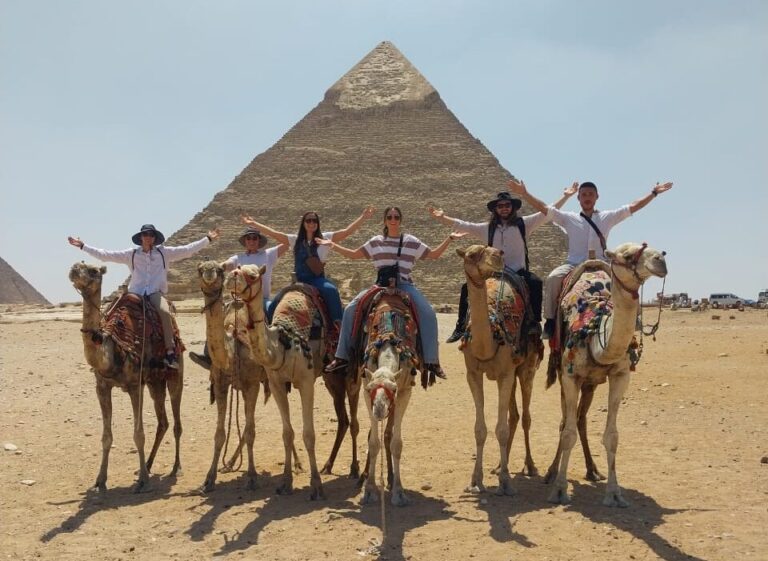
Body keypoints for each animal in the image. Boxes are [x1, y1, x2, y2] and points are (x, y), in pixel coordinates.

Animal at [68, 260, 182, 492]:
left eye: (94, 271)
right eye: (78, 264)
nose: (74, 269)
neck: (113, 347)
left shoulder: (135, 386)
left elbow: (138, 434)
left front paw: (143, 481)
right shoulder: (102, 386)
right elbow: (106, 437)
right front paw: (100, 480)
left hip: (175, 374)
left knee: (176, 423)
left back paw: (175, 467)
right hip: (155, 381)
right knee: (163, 422)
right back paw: (147, 464)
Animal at [226, 262, 326, 498]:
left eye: (253, 275)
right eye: (236, 268)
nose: (231, 277)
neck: (284, 344)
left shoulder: (306, 382)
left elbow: (309, 434)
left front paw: (317, 485)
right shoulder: (276, 384)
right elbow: (287, 433)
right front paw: (286, 482)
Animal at [456, 245, 544, 494]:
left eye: (489, 249)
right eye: (471, 254)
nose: (498, 255)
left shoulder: (506, 373)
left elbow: (501, 429)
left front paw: (505, 482)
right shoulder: (473, 374)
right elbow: (481, 429)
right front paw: (475, 480)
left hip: (526, 369)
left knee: (525, 417)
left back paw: (530, 466)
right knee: (514, 415)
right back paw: (497, 466)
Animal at [544, 243, 668, 506]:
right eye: (628, 256)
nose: (660, 260)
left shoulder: (621, 376)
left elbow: (612, 436)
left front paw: (614, 493)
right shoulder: (570, 377)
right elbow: (567, 432)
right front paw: (559, 490)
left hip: (590, 384)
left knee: (581, 419)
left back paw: (592, 469)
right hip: (562, 372)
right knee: (565, 422)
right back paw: (550, 473)